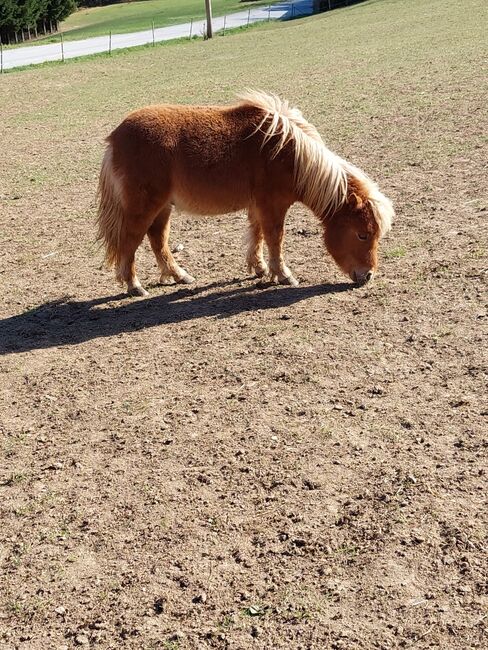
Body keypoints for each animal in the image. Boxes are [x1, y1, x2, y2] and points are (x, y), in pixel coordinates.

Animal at [97, 89, 394, 296]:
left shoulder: (258, 206)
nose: (368, 276)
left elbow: (258, 235)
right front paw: (283, 274)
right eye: (362, 234)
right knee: (129, 242)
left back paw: (179, 275)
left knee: (157, 240)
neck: (288, 153)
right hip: (144, 207)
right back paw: (134, 286)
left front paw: (260, 268)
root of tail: (115, 137)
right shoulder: (273, 206)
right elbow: (275, 238)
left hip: (163, 207)